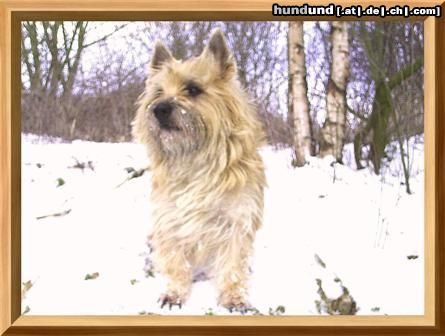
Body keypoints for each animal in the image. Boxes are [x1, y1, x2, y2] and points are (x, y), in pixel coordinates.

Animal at [131, 28, 264, 312]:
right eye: (158, 92)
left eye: (193, 89)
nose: (159, 109)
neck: (195, 158)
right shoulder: (170, 220)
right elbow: (175, 261)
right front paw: (174, 292)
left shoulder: (237, 220)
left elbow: (232, 264)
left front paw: (233, 296)